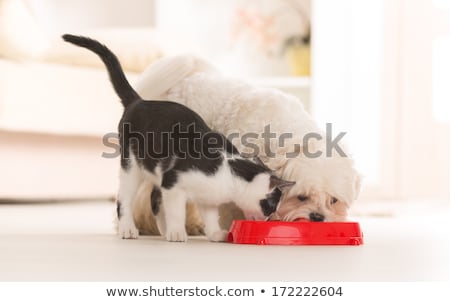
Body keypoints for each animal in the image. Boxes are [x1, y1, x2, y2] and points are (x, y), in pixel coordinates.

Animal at [63, 34, 296, 243]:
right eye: (272, 205)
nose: (269, 219)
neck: (228, 171)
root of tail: (139, 101)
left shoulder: (206, 197)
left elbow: (210, 216)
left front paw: (214, 234)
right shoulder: (173, 183)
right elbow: (176, 211)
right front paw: (177, 232)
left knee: (154, 200)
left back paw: (162, 231)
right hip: (131, 166)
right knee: (124, 200)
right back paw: (130, 229)